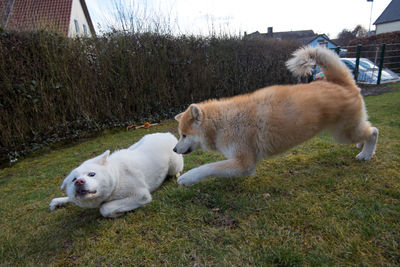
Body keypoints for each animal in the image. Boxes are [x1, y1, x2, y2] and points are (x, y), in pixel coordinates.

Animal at [48, 133, 184, 219]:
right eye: (73, 180)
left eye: (92, 174)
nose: (79, 182)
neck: (116, 176)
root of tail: (167, 134)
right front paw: (58, 201)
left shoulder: (140, 195)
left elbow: (104, 208)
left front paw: (115, 213)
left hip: (173, 166)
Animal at [173, 46, 378, 186]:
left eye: (184, 135)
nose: (174, 150)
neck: (223, 122)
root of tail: (340, 83)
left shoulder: (244, 163)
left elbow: (208, 167)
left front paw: (188, 177)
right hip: (345, 133)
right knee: (367, 130)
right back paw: (363, 147)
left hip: (344, 134)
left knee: (374, 131)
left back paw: (366, 154)